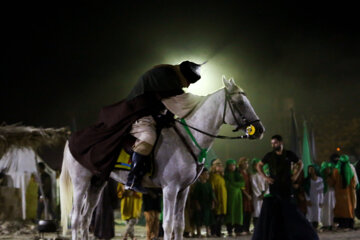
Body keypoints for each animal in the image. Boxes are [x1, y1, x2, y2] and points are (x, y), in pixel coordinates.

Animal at [60, 77, 266, 240]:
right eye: (239, 102)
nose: (259, 130)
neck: (188, 139)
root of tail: (72, 138)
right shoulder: (170, 189)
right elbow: (167, 224)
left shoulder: (183, 191)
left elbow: (179, 225)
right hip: (81, 183)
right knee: (76, 219)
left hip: (97, 183)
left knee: (85, 218)